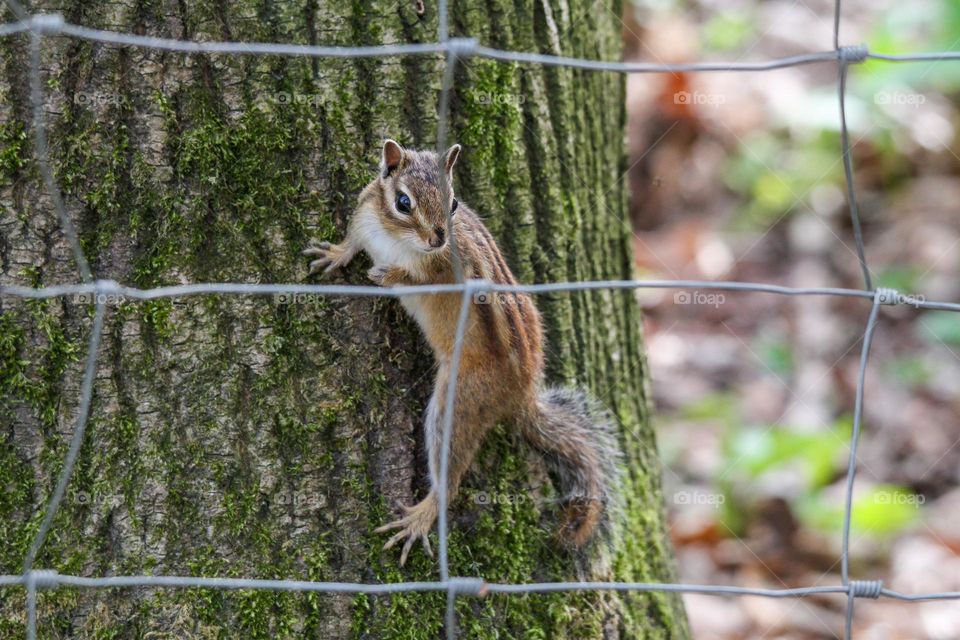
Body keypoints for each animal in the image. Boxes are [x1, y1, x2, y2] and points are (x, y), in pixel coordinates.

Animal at [304, 139, 621, 565]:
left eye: (454, 202)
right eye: (403, 202)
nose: (438, 238)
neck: (395, 238)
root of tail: (524, 394)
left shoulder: (446, 270)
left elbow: (417, 280)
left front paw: (390, 275)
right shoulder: (364, 215)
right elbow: (353, 242)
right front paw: (336, 253)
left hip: (462, 401)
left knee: (449, 472)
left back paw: (422, 516)